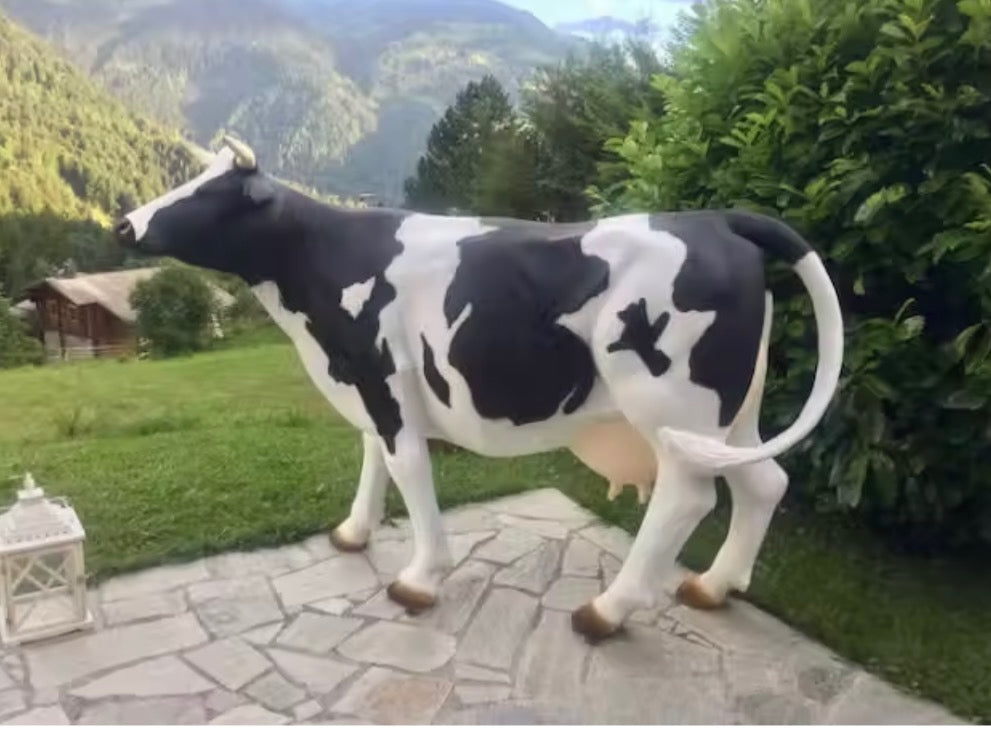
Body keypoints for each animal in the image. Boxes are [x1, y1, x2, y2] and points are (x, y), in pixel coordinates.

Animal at [114, 137, 843, 641]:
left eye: (208, 194)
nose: (124, 224)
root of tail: (716, 219)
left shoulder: (383, 380)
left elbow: (407, 467)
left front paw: (420, 578)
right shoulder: (370, 383)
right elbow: (373, 456)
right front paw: (353, 534)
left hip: (673, 406)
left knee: (687, 498)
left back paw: (606, 611)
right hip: (732, 413)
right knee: (764, 482)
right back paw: (713, 587)